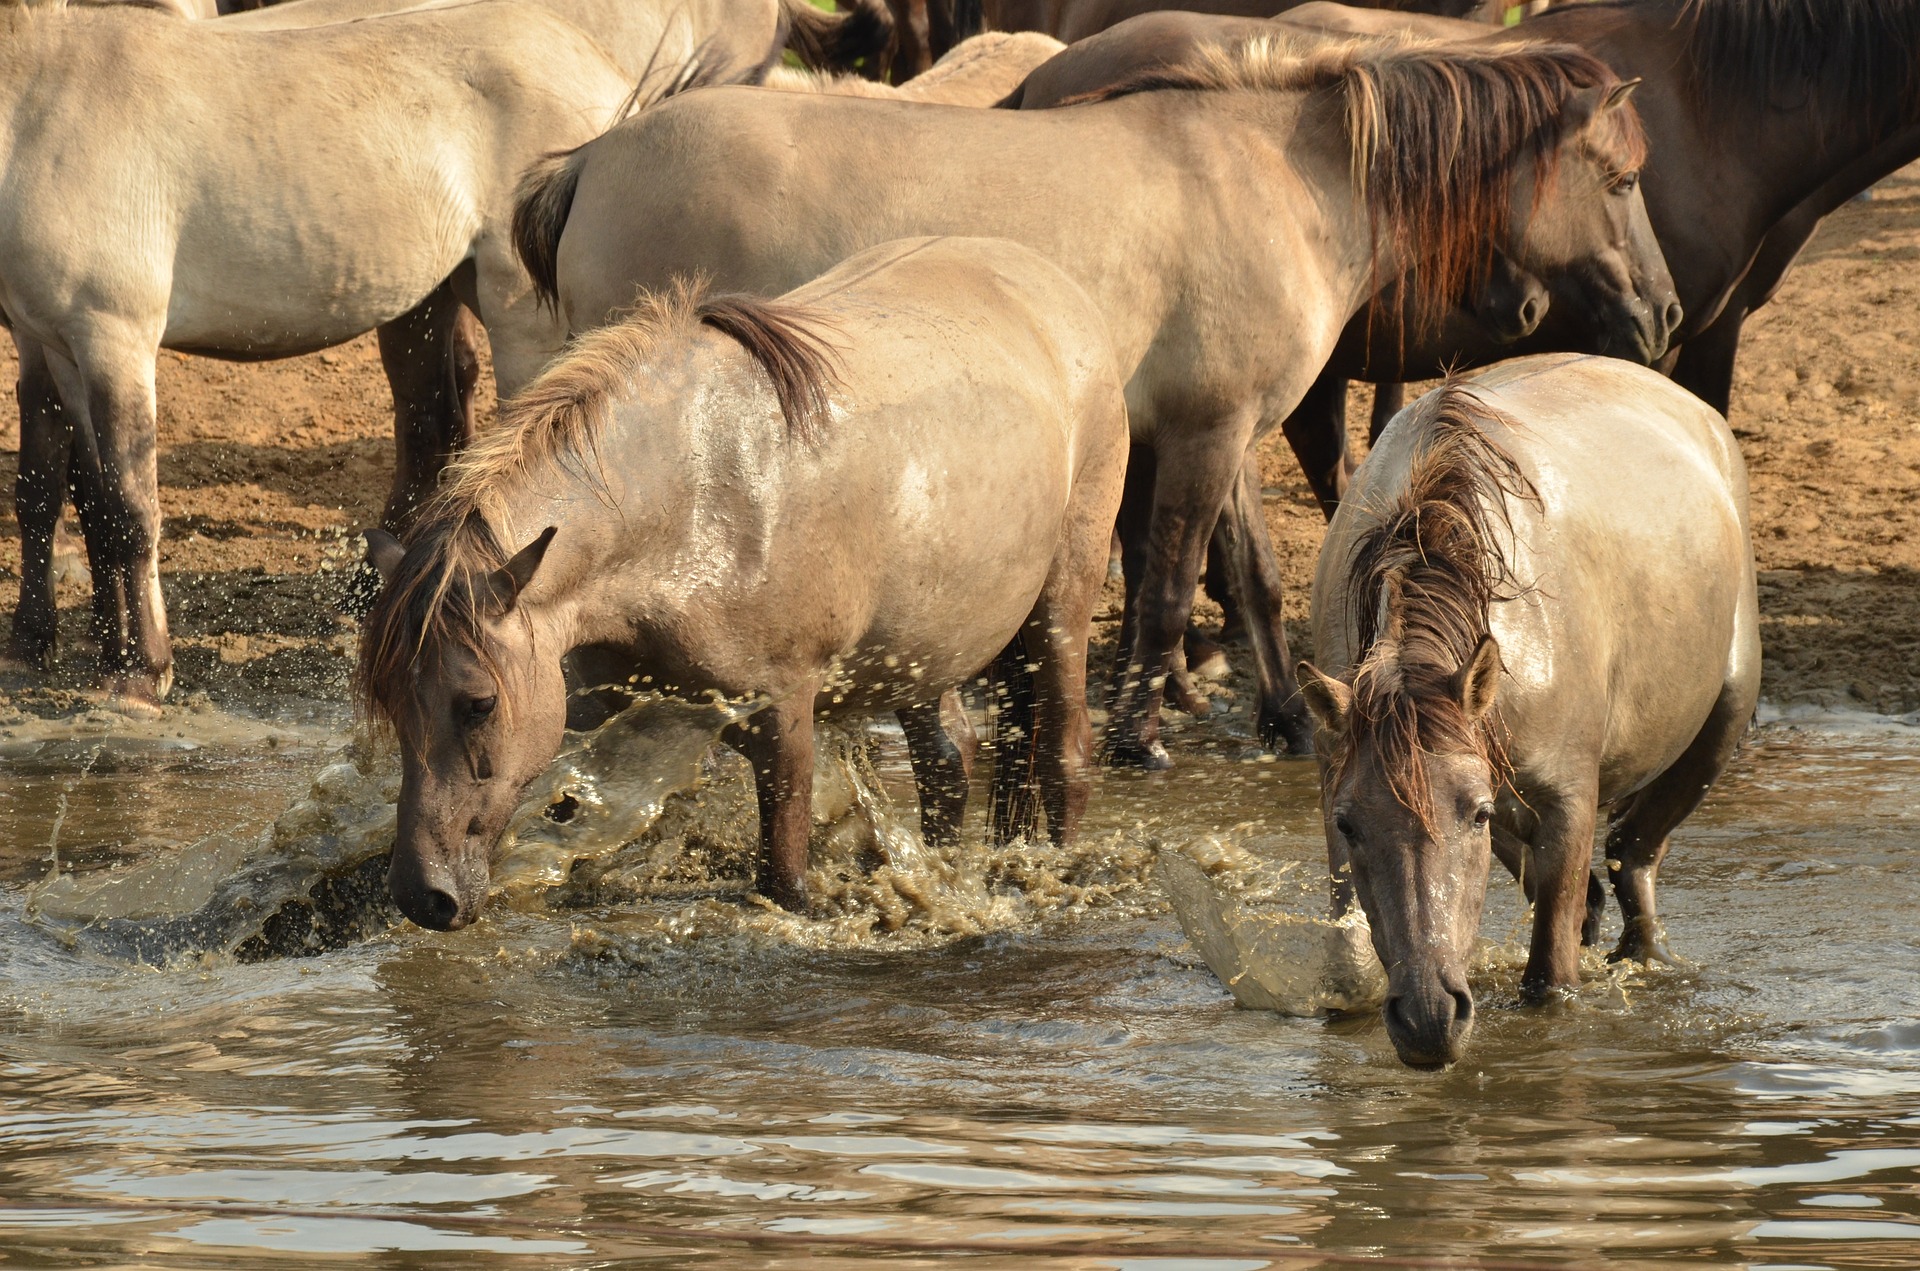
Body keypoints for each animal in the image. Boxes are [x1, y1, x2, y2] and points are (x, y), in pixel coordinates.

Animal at [357, 239, 1121, 933]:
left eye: (479, 703)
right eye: (389, 699)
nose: (422, 896)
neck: (694, 501)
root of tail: (1059, 288)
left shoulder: (783, 713)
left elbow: (784, 880)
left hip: (1062, 600)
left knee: (1066, 751)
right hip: (922, 650)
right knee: (948, 761)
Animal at [514, 39, 1681, 771]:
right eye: (1621, 179)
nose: (1665, 313)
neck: (1281, 182)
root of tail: (592, 158)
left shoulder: (1223, 428)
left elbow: (1251, 578)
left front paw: (1289, 717)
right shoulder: (1207, 434)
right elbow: (1166, 588)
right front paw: (1142, 732)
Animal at [1297, 353, 1758, 1067]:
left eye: (1475, 813)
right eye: (1349, 824)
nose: (1429, 1017)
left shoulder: (1565, 799)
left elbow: (1550, 980)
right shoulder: (1335, 780)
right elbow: (1348, 960)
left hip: (1725, 718)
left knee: (1635, 853)